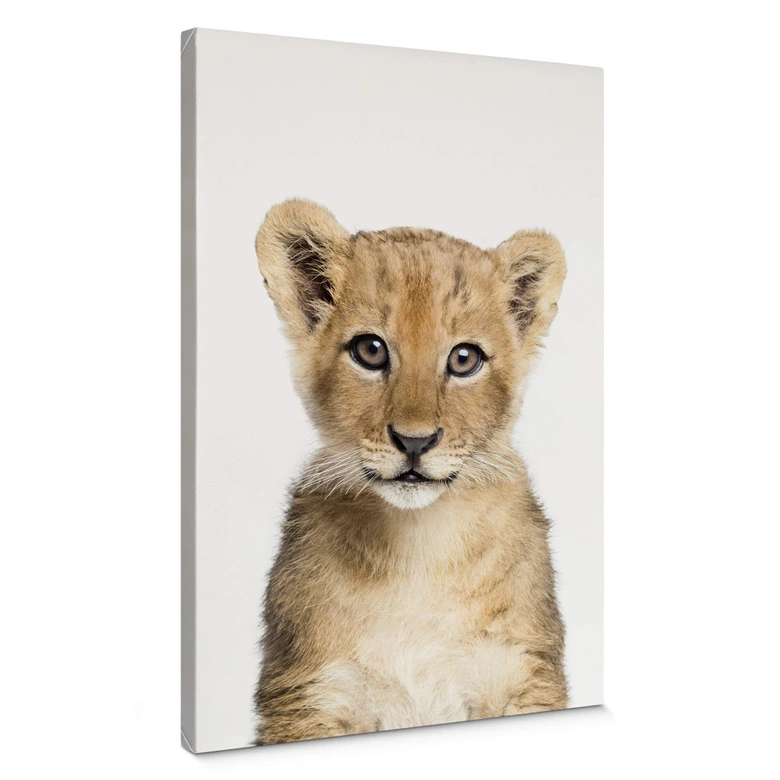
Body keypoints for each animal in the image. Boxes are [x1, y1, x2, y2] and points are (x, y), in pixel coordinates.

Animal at [252, 198, 568, 746]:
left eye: (464, 359)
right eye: (370, 350)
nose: (415, 441)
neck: (419, 547)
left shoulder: (524, 675)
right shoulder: (309, 693)